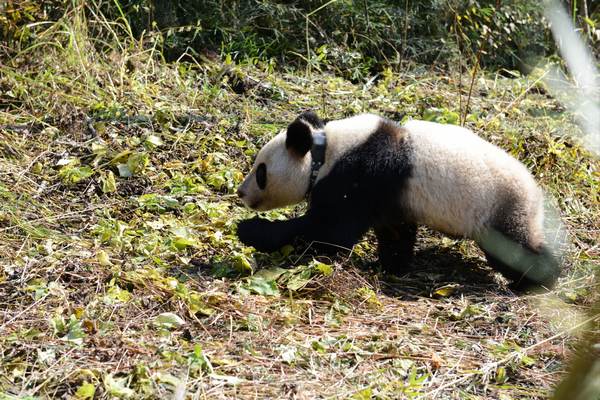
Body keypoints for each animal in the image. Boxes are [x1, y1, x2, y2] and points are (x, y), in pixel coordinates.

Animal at [236, 111, 564, 290]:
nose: (241, 192)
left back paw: (538, 280)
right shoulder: (390, 197)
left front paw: (250, 230)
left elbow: (330, 232)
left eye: (261, 171)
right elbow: (395, 231)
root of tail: (536, 192)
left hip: (500, 206)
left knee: (515, 250)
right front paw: (389, 265)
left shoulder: (361, 173)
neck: (325, 151)